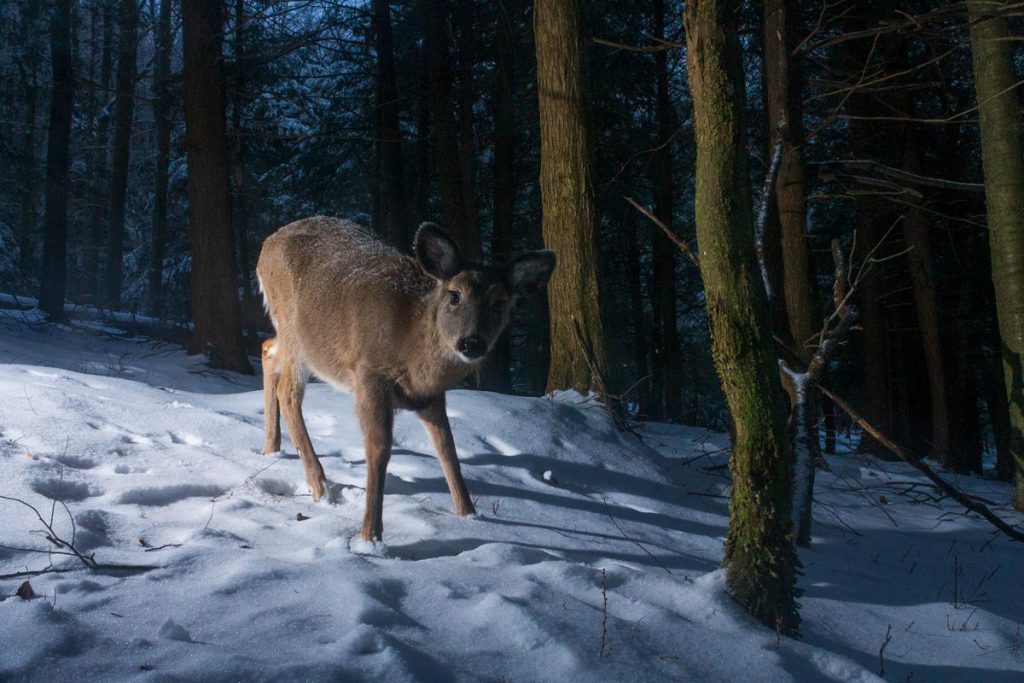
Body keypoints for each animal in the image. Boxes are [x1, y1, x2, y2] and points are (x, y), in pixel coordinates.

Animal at [256, 216, 556, 542]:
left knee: (267, 349)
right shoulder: (370, 375)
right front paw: (370, 535)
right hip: (296, 334)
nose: (472, 343)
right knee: (288, 391)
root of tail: (266, 245)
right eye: (454, 295)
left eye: (500, 303)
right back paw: (319, 485)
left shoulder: (431, 396)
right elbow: (379, 449)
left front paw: (469, 515)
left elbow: (447, 449)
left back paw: (271, 448)